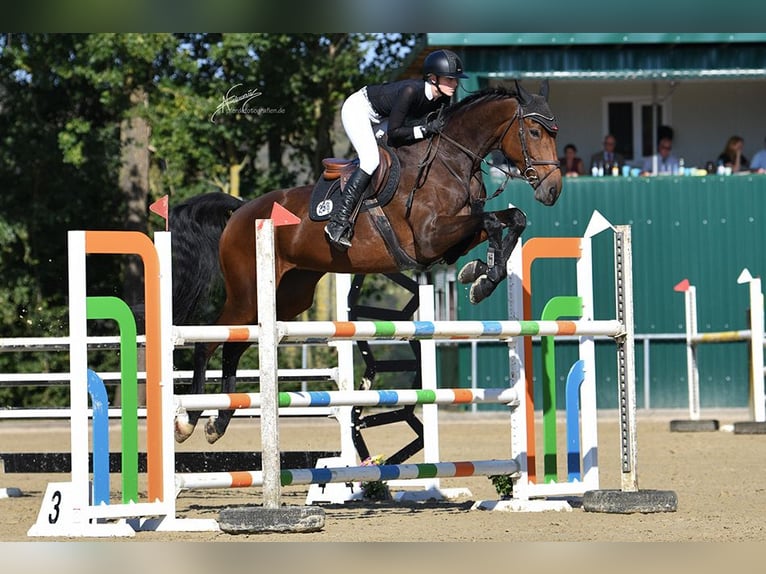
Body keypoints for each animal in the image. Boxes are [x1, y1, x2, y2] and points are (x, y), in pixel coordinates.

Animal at [171, 81, 560, 444]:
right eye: (535, 132)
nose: (553, 190)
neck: (451, 160)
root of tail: (241, 210)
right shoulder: (430, 237)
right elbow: (493, 221)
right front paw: (482, 278)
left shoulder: (451, 239)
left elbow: (514, 218)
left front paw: (480, 275)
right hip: (246, 292)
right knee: (208, 342)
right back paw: (188, 420)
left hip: (289, 296)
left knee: (235, 345)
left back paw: (218, 422)